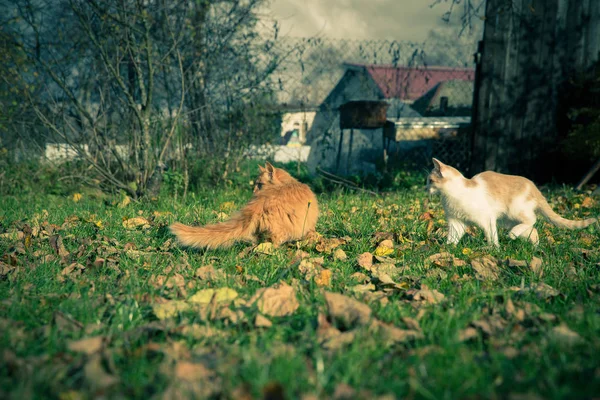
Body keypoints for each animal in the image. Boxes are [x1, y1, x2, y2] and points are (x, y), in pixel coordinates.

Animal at [426, 157, 596, 245]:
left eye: (429, 180)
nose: (425, 187)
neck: (454, 194)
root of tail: (534, 187)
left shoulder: (487, 220)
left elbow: (492, 237)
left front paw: (493, 250)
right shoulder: (456, 222)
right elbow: (452, 238)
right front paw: (448, 249)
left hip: (515, 211)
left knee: (532, 220)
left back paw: (513, 235)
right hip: (508, 220)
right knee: (533, 230)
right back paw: (534, 247)